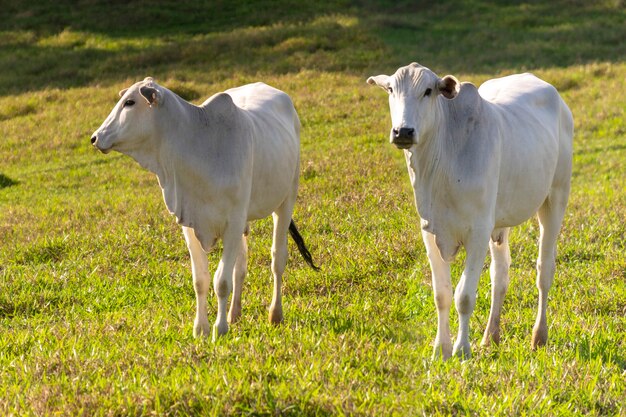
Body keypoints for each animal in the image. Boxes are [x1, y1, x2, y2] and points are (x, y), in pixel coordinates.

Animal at [89, 78, 316, 342]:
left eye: (130, 102)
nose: (95, 137)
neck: (200, 145)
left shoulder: (233, 222)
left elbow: (222, 281)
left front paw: (219, 329)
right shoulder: (190, 224)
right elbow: (201, 279)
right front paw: (201, 328)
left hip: (286, 199)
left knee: (277, 259)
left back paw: (275, 314)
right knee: (241, 267)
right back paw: (234, 313)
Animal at [366, 63, 572, 360]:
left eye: (428, 91)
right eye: (391, 89)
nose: (402, 132)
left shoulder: (477, 231)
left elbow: (464, 296)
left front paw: (462, 349)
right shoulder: (430, 230)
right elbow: (441, 294)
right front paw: (441, 349)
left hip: (555, 197)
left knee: (544, 271)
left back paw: (539, 336)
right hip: (500, 222)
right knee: (500, 274)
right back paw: (490, 336)